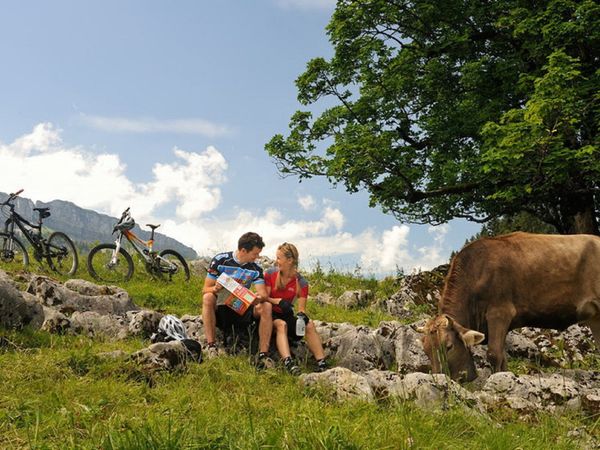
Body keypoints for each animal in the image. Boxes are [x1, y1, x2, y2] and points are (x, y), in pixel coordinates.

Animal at [418, 232, 600, 384]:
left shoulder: (499, 313)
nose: (439, 378)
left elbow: (494, 354)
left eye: (449, 347)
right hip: (595, 316)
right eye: (425, 350)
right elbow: (503, 356)